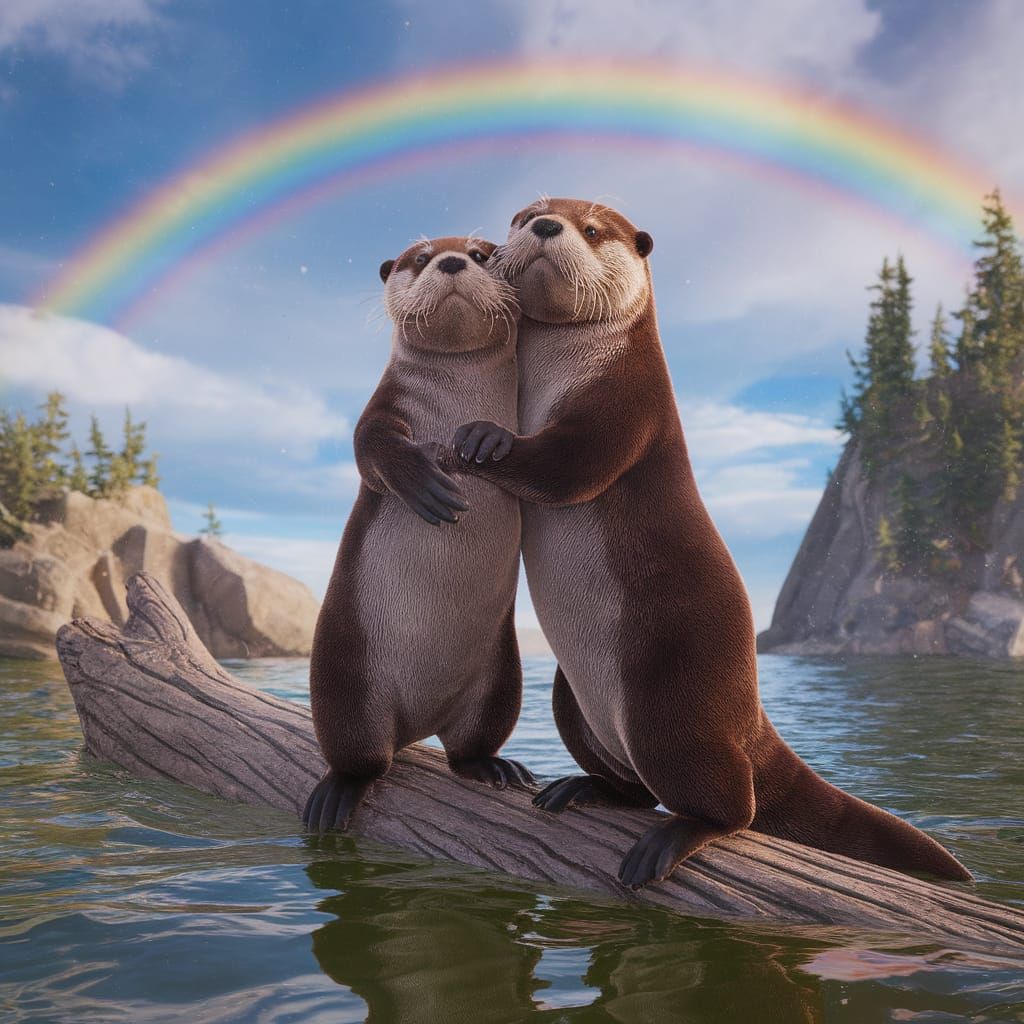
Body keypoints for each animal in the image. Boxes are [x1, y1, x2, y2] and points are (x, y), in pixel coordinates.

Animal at [303, 235, 532, 833]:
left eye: (480, 253)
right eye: (421, 256)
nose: (450, 260)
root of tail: (414, 726)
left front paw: (486, 438)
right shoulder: (382, 408)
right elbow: (371, 446)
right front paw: (427, 483)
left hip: (502, 678)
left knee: (468, 747)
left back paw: (495, 767)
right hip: (344, 673)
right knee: (358, 754)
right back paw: (340, 790)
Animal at [451, 198, 970, 888]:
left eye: (592, 229)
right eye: (527, 214)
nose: (546, 225)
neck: (566, 373)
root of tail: (750, 721)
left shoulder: (626, 404)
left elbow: (568, 465)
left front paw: (485, 436)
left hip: (671, 704)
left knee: (734, 805)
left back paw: (675, 838)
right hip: (572, 698)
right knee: (636, 788)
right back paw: (584, 789)